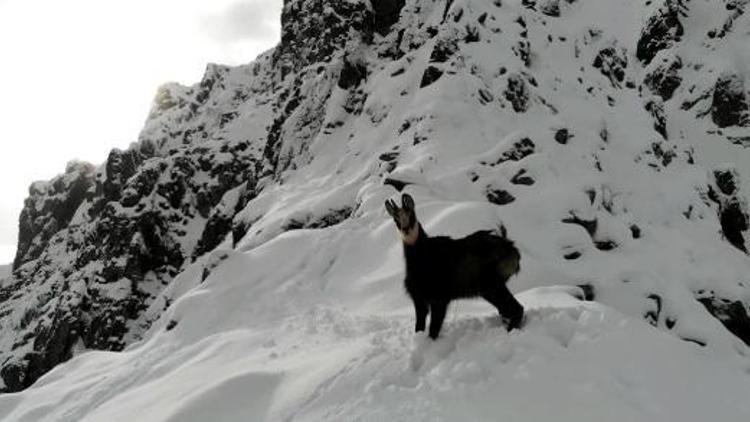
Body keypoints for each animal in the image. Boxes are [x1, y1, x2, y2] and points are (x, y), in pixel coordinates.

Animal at [384, 195, 524, 340]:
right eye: (396, 219)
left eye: (411, 214)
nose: (405, 229)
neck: (421, 259)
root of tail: (512, 249)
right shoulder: (419, 298)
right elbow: (419, 327)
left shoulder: (440, 298)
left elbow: (434, 329)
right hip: (489, 289)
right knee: (508, 310)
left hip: (492, 285)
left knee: (517, 308)